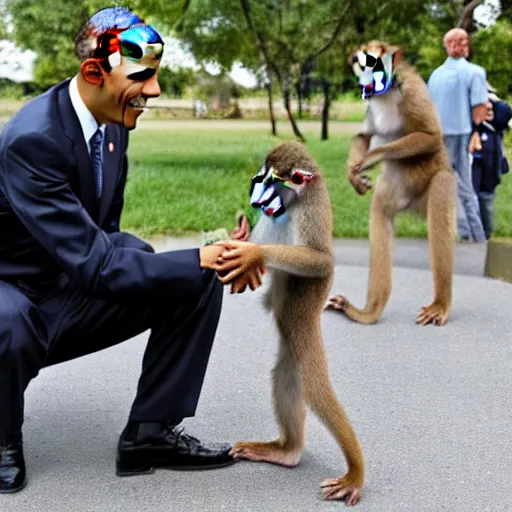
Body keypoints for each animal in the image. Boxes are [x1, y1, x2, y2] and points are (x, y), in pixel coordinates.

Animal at [215, 140, 364, 504]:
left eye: (269, 181)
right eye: (259, 176)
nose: (255, 194)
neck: (294, 200)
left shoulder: (310, 208)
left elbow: (321, 260)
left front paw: (253, 255)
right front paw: (240, 235)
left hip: (303, 321)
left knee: (311, 384)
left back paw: (352, 473)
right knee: (286, 374)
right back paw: (288, 451)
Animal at [328, 42, 456, 326]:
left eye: (369, 56)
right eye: (358, 58)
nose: (355, 59)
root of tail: (415, 204)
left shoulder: (411, 89)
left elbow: (430, 137)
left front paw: (371, 158)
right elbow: (363, 135)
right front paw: (354, 173)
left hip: (437, 181)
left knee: (440, 197)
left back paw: (440, 303)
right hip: (398, 190)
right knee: (380, 215)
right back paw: (367, 312)